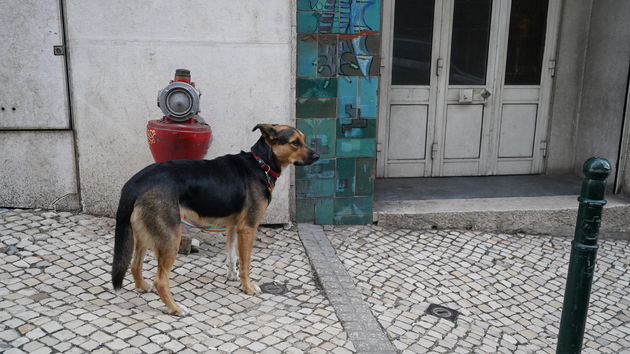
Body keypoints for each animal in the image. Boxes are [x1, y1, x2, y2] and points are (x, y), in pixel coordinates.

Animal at [111, 124, 318, 316]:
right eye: (295, 142)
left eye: (303, 139)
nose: (317, 157)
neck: (261, 164)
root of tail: (135, 182)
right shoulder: (248, 228)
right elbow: (246, 264)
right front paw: (247, 287)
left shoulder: (234, 227)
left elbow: (232, 257)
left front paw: (232, 276)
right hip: (170, 238)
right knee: (160, 281)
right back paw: (175, 308)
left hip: (145, 234)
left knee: (135, 266)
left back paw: (143, 287)